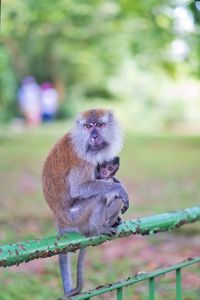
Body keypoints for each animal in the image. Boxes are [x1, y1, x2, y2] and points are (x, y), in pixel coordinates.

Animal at [42, 109, 130, 296]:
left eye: (100, 125)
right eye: (89, 126)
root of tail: (60, 220)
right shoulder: (83, 162)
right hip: (76, 217)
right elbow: (78, 189)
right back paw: (96, 230)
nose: (94, 136)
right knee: (100, 198)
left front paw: (118, 182)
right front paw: (119, 188)